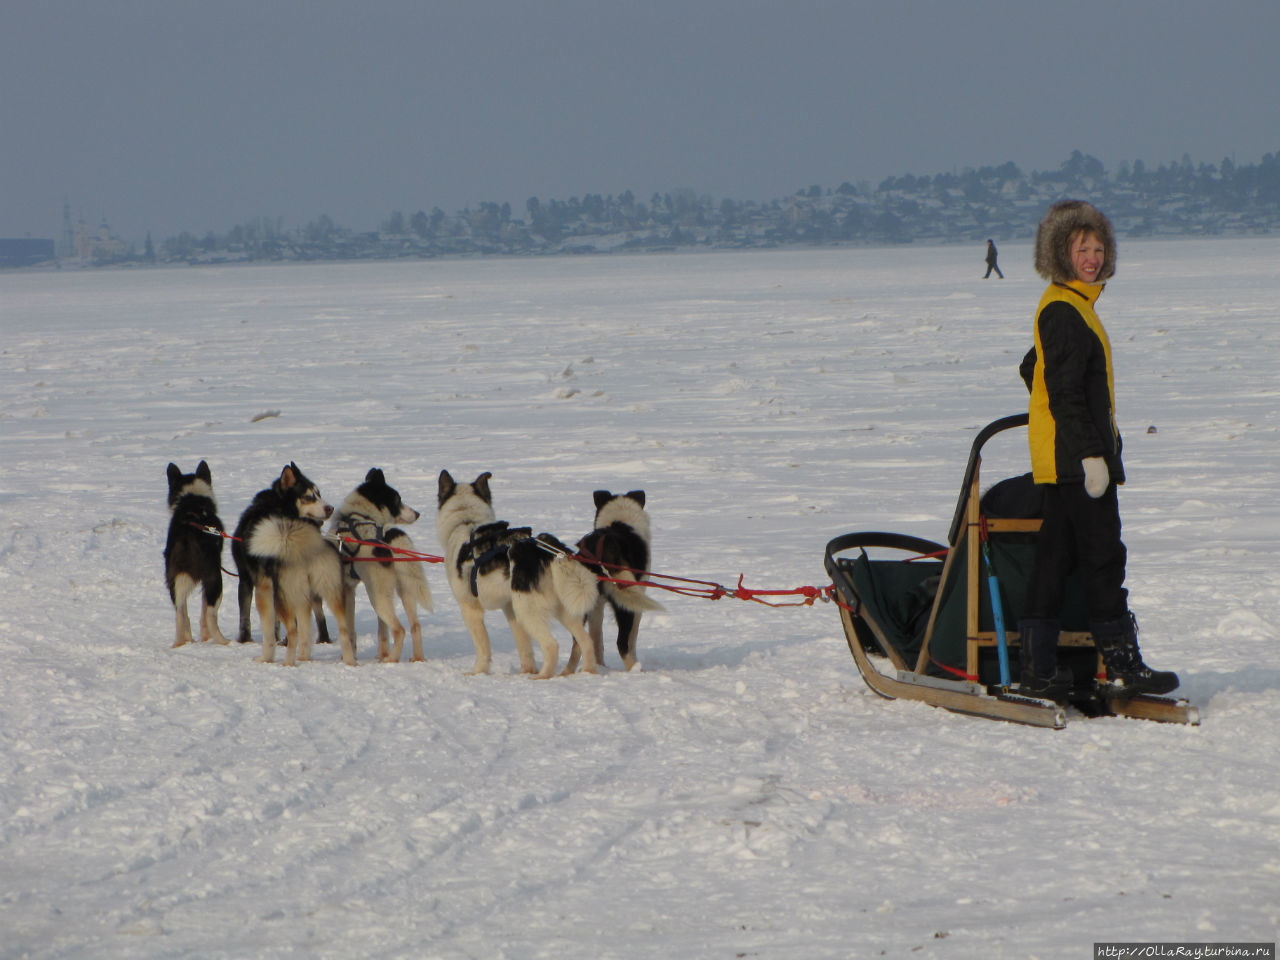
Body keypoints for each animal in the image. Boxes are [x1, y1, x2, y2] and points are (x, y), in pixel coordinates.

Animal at [162, 463, 230, 650]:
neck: (192, 501)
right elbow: (204, 611)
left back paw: (182, 642)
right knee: (210, 615)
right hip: (216, 579)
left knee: (181, 614)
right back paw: (223, 642)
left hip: (173, 581)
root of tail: (187, 536)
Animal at [240, 465, 355, 670]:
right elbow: (306, 630)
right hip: (331, 592)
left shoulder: (263, 590)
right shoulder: (305, 597)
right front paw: (304, 657)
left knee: (292, 632)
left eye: (318, 494)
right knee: (342, 629)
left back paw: (288, 663)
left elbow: (270, 634)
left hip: (282, 597)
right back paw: (349, 662)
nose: (330, 508)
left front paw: (265, 658)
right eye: (310, 496)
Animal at [327, 471, 432, 665]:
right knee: (415, 626)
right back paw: (416, 658)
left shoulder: (346, 590)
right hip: (404, 591)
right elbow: (382, 631)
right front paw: (381, 653)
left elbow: (350, 630)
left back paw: (392, 660)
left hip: (378, 596)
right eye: (398, 500)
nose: (417, 513)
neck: (361, 514)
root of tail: (388, 535)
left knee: (399, 630)